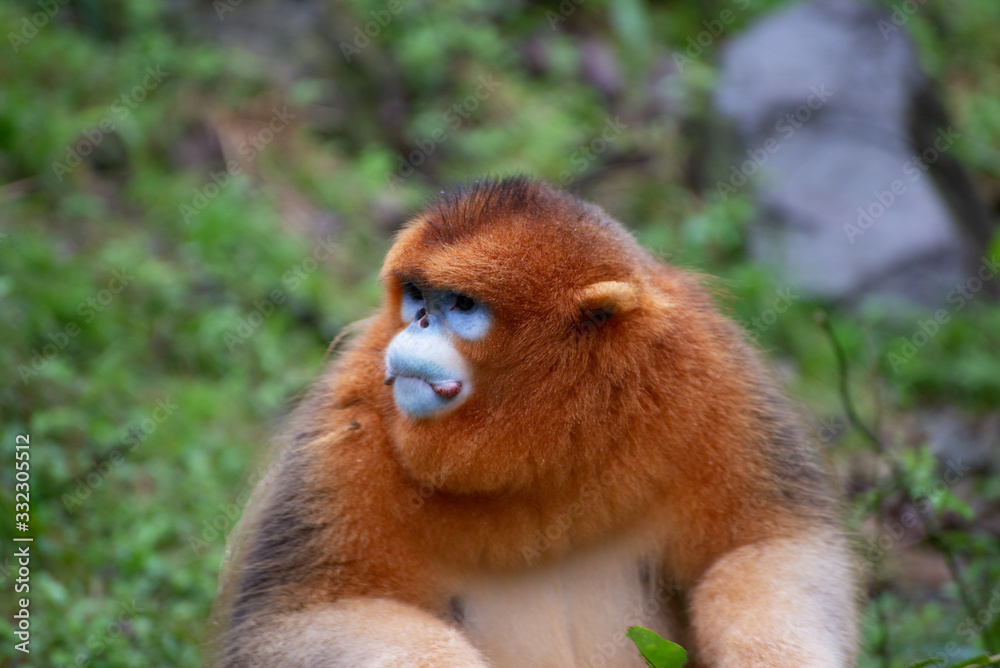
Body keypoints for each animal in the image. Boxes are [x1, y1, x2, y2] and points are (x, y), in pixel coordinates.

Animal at [212, 177, 859, 667]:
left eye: (461, 305)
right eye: (418, 296)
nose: (418, 322)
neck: (545, 452)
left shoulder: (712, 376)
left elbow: (772, 548)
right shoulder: (350, 423)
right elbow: (291, 624)